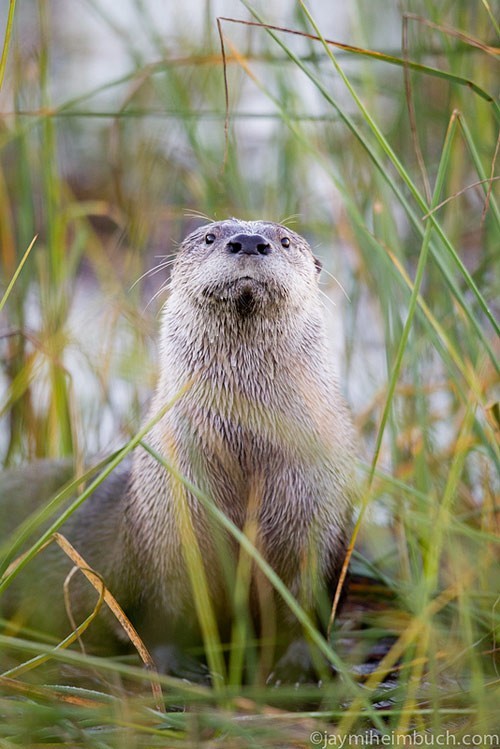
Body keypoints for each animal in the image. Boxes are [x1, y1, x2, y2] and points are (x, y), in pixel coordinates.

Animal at [1, 219, 358, 680]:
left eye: (283, 240)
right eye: (210, 236)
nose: (248, 241)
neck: (245, 460)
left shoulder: (320, 522)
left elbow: (308, 608)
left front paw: (297, 666)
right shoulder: (164, 530)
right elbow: (159, 608)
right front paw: (175, 664)